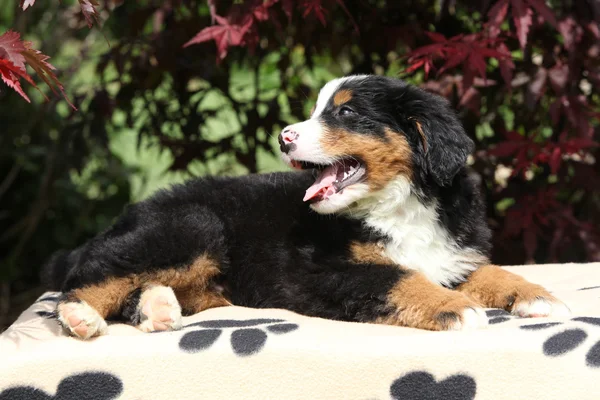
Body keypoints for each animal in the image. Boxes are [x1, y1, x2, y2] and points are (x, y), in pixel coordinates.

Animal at [41, 73, 568, 340]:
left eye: (346, 111)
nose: (283, 137)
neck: (399, 207)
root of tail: (132, 213)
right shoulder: (324, 273)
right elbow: (400, 277)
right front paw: (454, 307)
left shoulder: (451, 252)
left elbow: (488, 271)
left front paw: (538, 296)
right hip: (189, 224)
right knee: (92, 273)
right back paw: (81, 316)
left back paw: (158, 308)